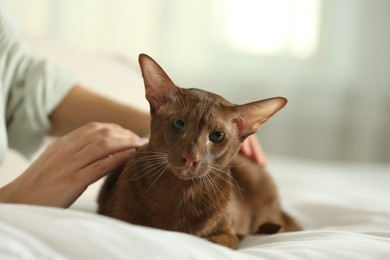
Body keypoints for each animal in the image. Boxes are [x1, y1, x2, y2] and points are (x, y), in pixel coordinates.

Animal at [98, 53, 302, 249]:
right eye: (178, 123)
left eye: (217, 136)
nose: (190, 157)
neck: (179, 194)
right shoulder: (112, 216)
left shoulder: (230, 235)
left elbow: (208, 241)